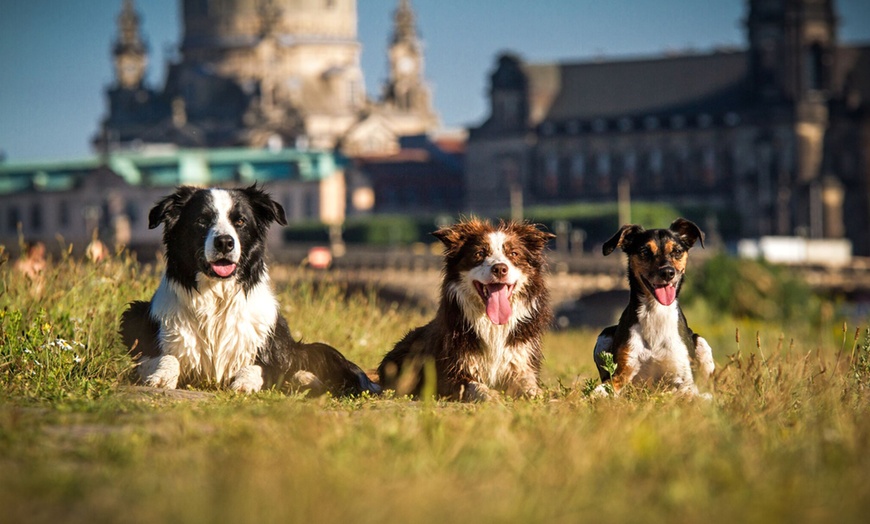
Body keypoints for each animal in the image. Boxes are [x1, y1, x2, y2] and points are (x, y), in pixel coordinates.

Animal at [121, 186, 380, 396]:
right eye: (202, 220)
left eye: (241, 222)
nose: (225, 242)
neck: (217, 299)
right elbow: (164, 357)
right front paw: (161, 375)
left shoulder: (268, 353)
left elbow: (259, 367)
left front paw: (245, 382)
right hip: (132, 313)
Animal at [378, 217, 556, 402]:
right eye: (479, 254)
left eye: (514, 254)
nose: (500, 268)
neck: (492, 324)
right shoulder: (449, 372)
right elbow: (473, 386)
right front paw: (491, 395)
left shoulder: (521, 361)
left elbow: (528, 384)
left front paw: (540, 394)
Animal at [592, 218, 716, 398]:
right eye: (644, 251)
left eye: (677, 251)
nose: (667, 272)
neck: (656, 311)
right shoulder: (623, 372)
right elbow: (600, 390)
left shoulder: (684, 379)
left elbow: (688, 392)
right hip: (604, 336)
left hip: (701, 343)